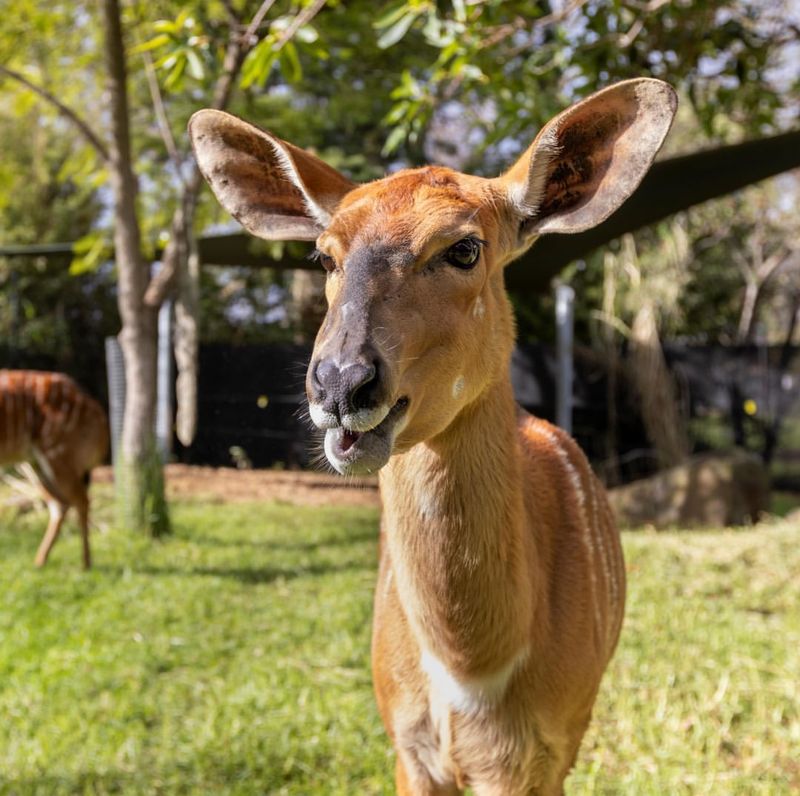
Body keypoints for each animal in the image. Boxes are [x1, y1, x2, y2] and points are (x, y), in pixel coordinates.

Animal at [0, 370, 108, 568]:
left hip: (57, 455)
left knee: (81, 500)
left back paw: (86, 563)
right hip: (36, 463)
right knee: (61, 504)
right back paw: (39, 561)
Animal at [192, 77, 676, 792]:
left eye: (464, 249)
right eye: (325, 256)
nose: (341, 386)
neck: (471, 665)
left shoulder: (541, 756)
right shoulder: (408, 747)